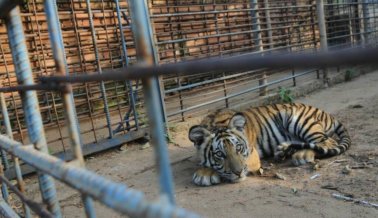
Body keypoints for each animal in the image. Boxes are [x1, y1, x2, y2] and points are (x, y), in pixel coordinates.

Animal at [189, 103, 352, 186]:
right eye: (219, 154)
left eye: (239, 148)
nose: (239, 172)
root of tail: (326, 113)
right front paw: (204, 170)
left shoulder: (252, 155)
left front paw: (204, 174)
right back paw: (283, 150)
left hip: (298, 120)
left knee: (327, 142)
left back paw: (301, 155)